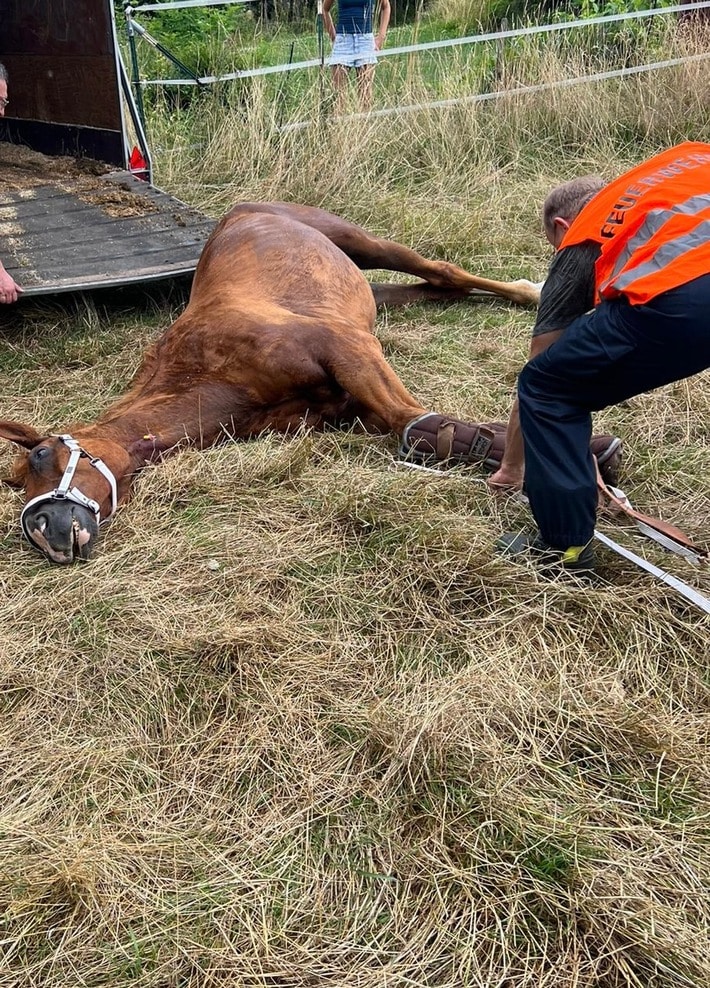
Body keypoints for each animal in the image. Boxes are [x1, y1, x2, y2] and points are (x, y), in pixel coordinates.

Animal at [0, 203, 548, 564]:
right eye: (19, 481)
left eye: (42, 454)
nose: (43, 533)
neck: (211, 373)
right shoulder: (343, 406)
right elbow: (418, 429)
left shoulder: (349, 349)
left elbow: (416, 422)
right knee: (435, 288)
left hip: (362, 243)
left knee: (443, 271)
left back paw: (531, 292)